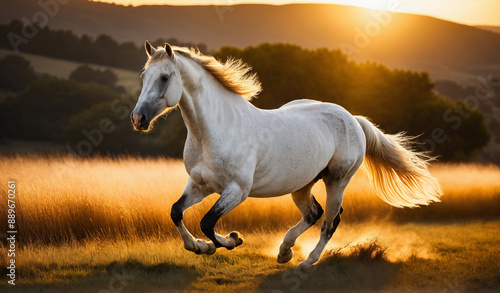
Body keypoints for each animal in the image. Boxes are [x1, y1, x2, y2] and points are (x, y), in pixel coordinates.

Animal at [132, 41, 442, 266]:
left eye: (164, 77)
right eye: (144, 76)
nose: (138, 119)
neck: (215, 130)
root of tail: (352, 118)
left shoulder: (237, 191)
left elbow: (207, 223)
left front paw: (232, 239)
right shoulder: (199, 185)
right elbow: (176, 212)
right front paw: (200, 247)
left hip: (337, 181)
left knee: (331, 220)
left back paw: (307, 262)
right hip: (302, 184)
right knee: (314, 213)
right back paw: (285, 252)